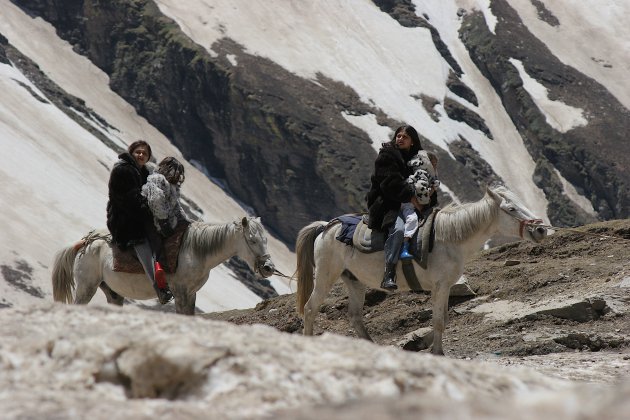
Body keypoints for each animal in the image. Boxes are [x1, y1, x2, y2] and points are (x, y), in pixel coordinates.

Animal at [55, 218, 278, 314]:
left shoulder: (191, 294)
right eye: (252, 240)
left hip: (113, 293)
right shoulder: (180, 293)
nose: (268, 267)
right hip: (86, 287)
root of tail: (87, 242)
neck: (195, 251)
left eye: (265, 239)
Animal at [296, 187, 548, 354]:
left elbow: (444, 318)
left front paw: (423, 344)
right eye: (511, 208)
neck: (450, 239)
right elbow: (438, 321)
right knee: (310, 308)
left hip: (354, 281)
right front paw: (437, 351)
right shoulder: (441, 285)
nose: (541, 230)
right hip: (326, 276)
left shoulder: (445, 287)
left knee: (355, 317)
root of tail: (326, 227)